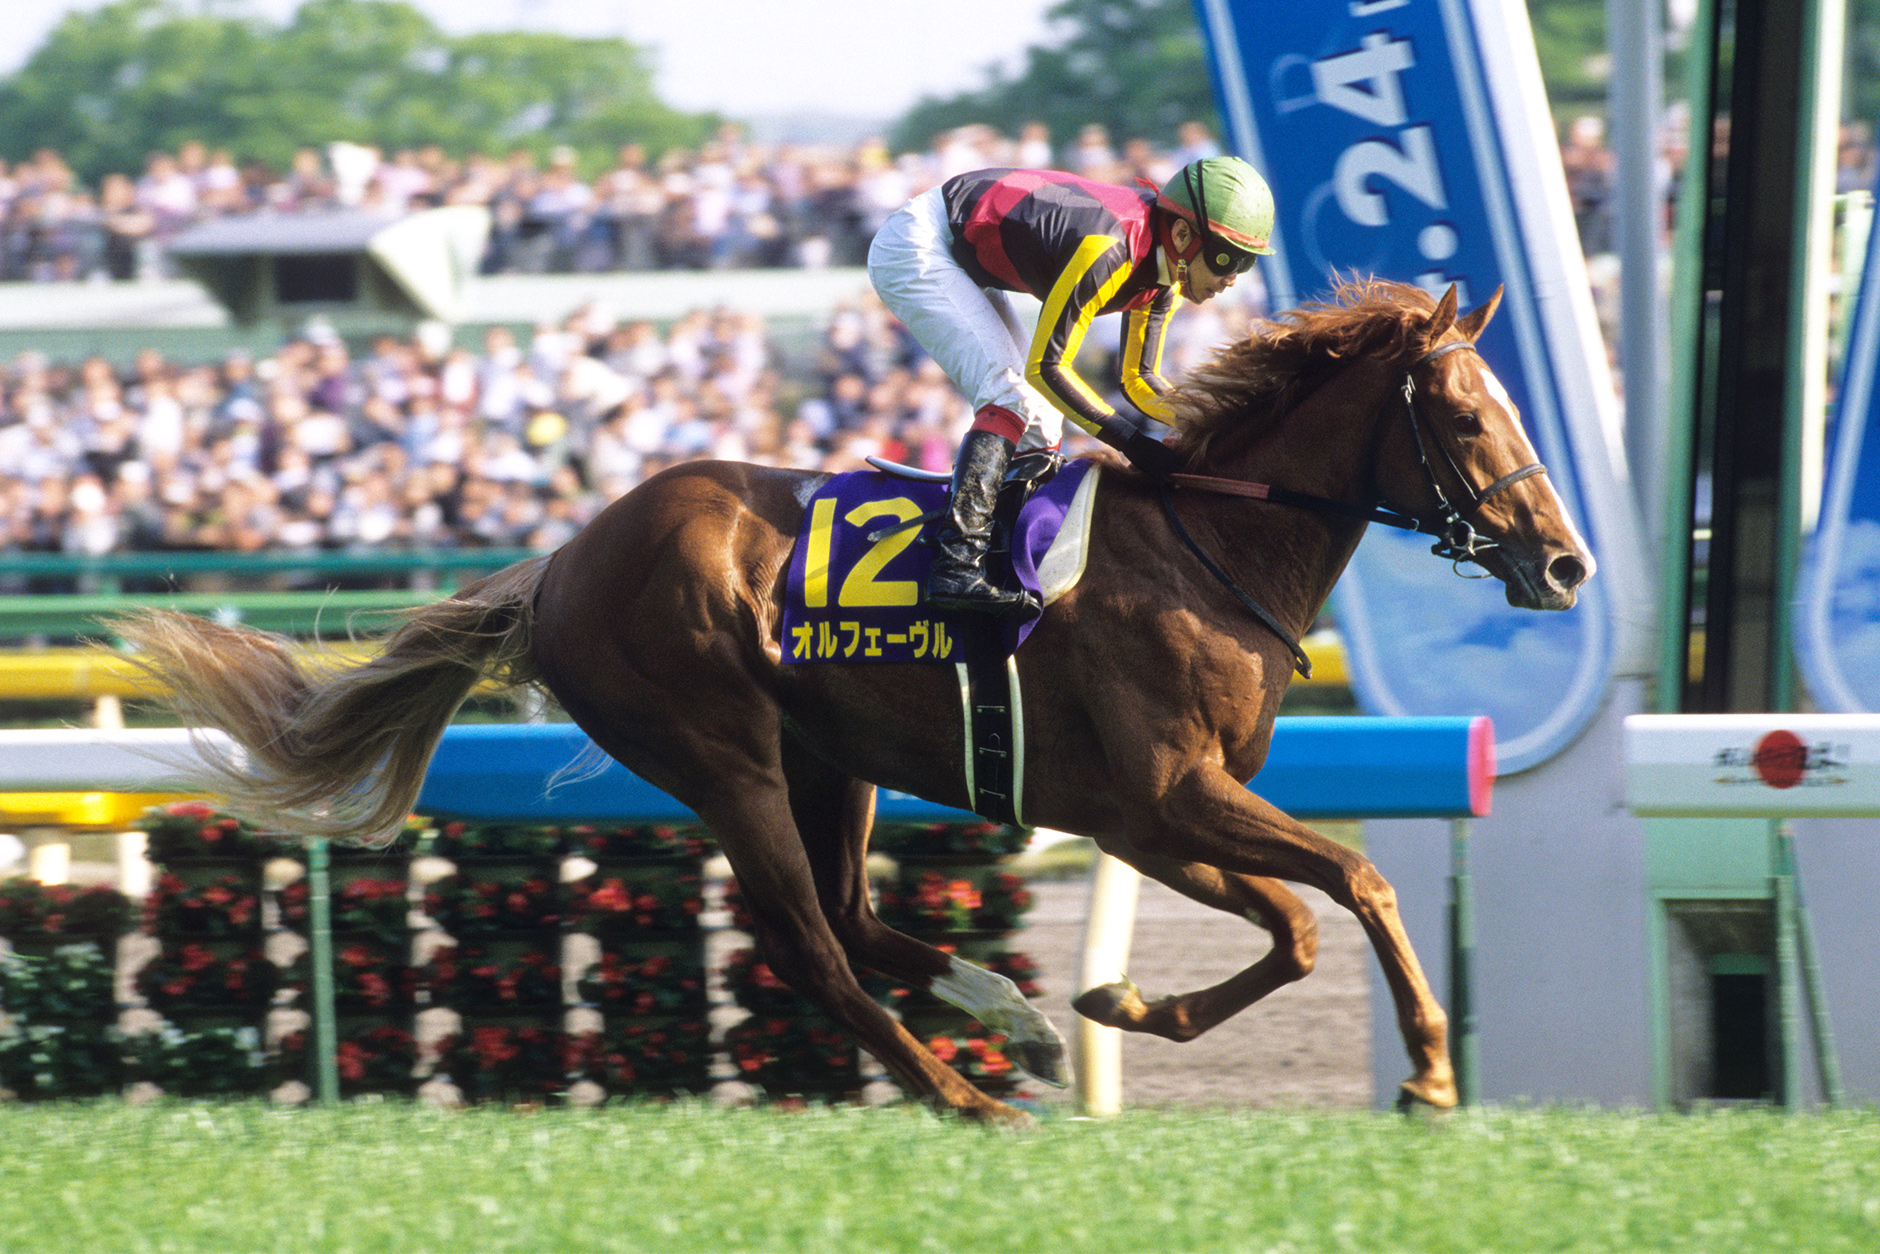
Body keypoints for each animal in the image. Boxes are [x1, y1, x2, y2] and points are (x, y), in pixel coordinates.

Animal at [117, 278, 1594, 1126]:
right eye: (1469, 418)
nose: (1566, 563)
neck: (1202, 542)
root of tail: (563, 560)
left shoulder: (1147, 818)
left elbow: (1294, 922)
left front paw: (1119, 1006)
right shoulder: (1168, 797)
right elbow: (1344, 886)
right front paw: (1427, 1070)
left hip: (837, 760)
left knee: (851, 918)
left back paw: (1014, 1028)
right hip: (725, 758)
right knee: (807, 948)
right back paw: (962, 1097)